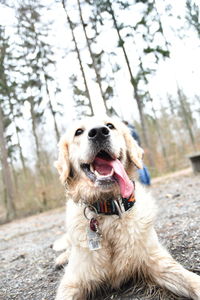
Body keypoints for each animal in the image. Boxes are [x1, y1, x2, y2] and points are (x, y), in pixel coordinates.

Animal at [53, 116, 200, 298]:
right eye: (78, 132)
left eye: (110, 126)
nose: (99, 132)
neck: (109, 208)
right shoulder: (73, 280)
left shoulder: (156, 260)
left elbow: (190, 279)